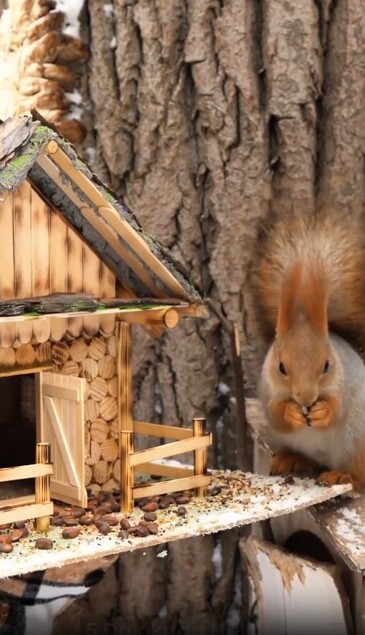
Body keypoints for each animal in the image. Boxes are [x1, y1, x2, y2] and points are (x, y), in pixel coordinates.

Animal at [250, 212, 365, 486]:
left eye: (327, 365)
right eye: (281, 367)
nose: (306, 398)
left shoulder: (345, 384)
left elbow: (338, 408)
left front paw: (323, 411)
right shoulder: (267, 388)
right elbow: (275, 415)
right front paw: (291, 413)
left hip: (356, 443)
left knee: (359, 477)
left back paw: (341, 475)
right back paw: (290, 459)